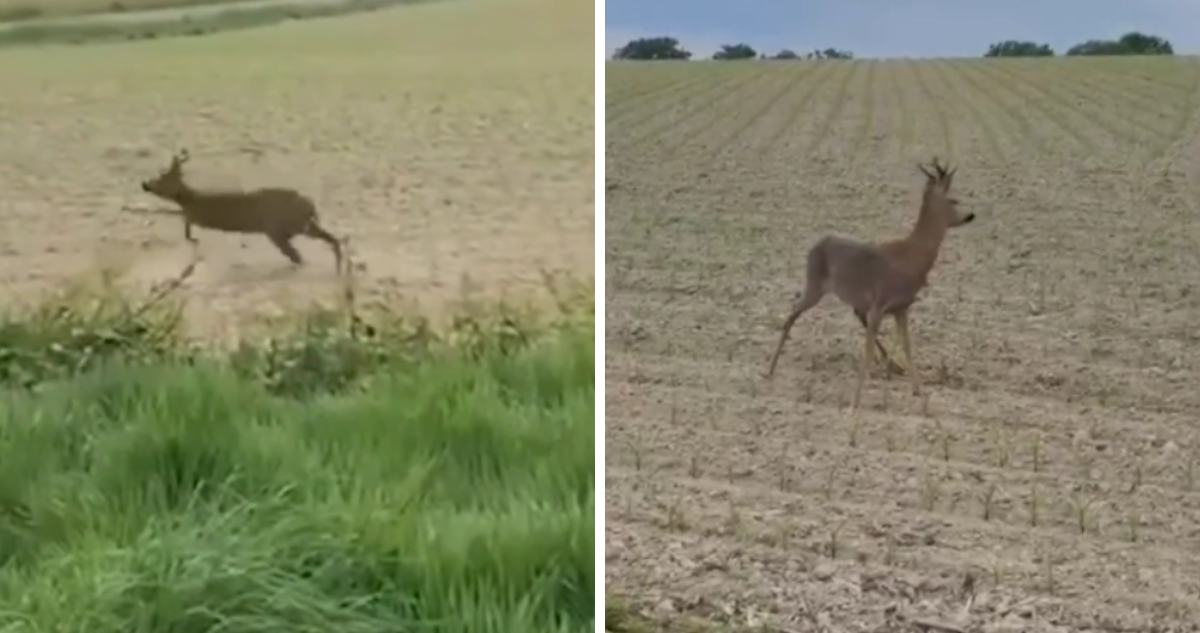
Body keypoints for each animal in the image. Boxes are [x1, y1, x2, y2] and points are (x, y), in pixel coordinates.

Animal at [134, 149, 344, 274]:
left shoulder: (199, 216)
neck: (192, 198)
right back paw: (339, 268)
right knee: (329, 240)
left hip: (280, 229)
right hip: (298, 226)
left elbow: (183, 224)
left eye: (162, 177)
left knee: (299, 255)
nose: (145, 184)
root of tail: (310, 204)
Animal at [765, 158, 975, 410]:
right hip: (815, 285)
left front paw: (919, 393)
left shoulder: (901, 307)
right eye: (953, 199)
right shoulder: (879, 304)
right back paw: (771, 369)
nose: (970, 215)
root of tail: (816, 246)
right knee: (793, 313)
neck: (913, 256)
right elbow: (867, 350)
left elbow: (907, 346)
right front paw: (856, 400)